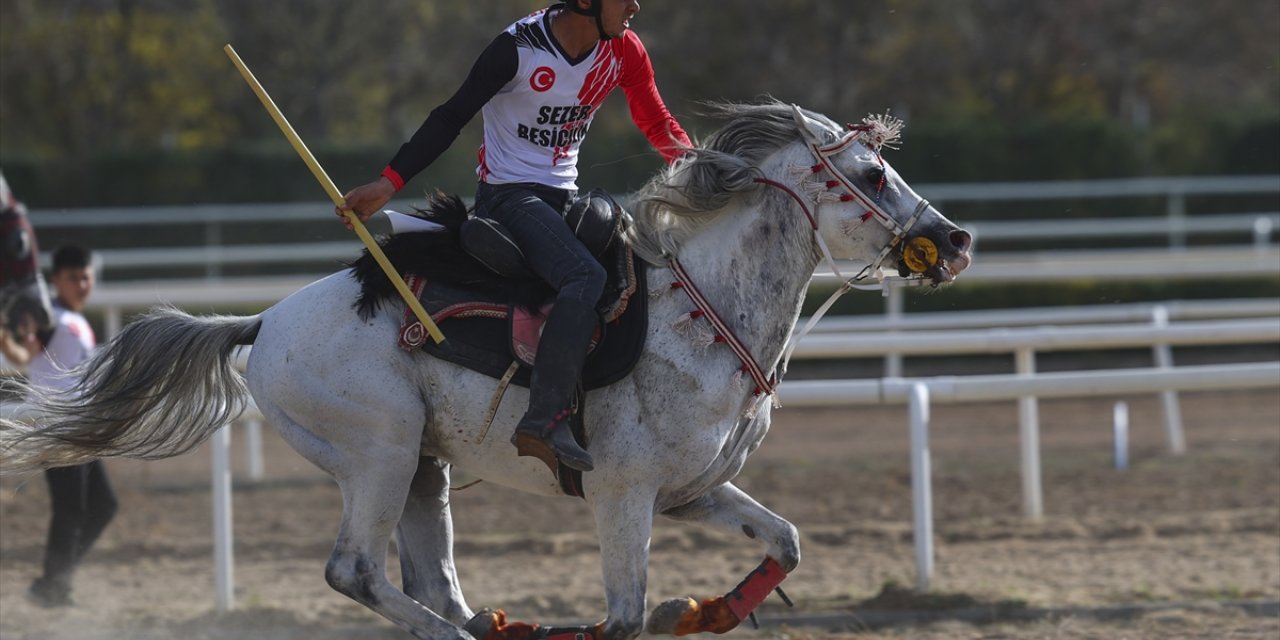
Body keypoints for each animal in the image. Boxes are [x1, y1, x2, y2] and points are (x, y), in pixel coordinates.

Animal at [0, 101, 967, 640]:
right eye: (872, 171)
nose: (954, 238)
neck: (700, 315)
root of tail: (265, 321)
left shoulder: (690, 491)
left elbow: (786, 541)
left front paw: (705, 612)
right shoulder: (623, 494)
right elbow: (622, 620)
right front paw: (661, 614)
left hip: (423, 472)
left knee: (433, 583)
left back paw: (496, 624)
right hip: (380, 452)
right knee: (357, 574)